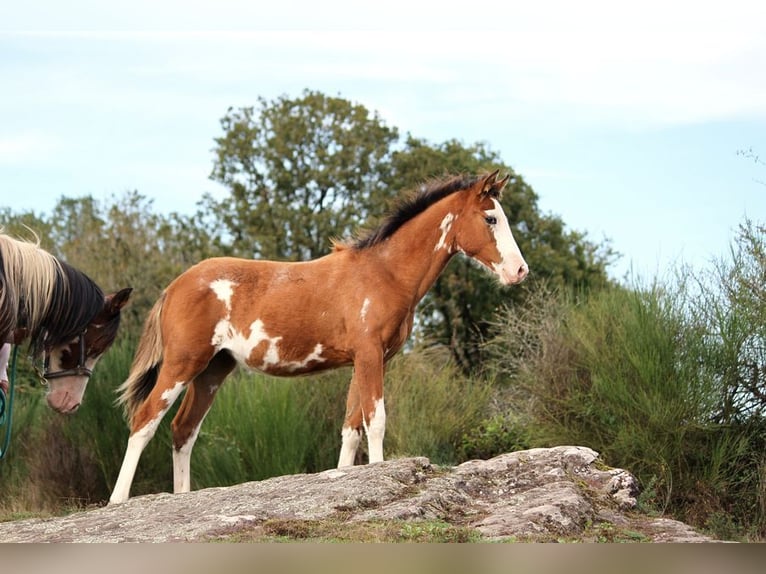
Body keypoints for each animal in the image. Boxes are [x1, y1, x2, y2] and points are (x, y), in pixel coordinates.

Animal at [108, 170, 528, 504]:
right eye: (490, 218)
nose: (520, 271)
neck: (385, 273)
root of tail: (174, 286)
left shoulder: (365, 360)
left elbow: (351, 428)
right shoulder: (370, 355)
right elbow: (375, 421)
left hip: (213, 369)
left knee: (184, 430)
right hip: (183, 363)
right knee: (145, 421)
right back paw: (118, 500)